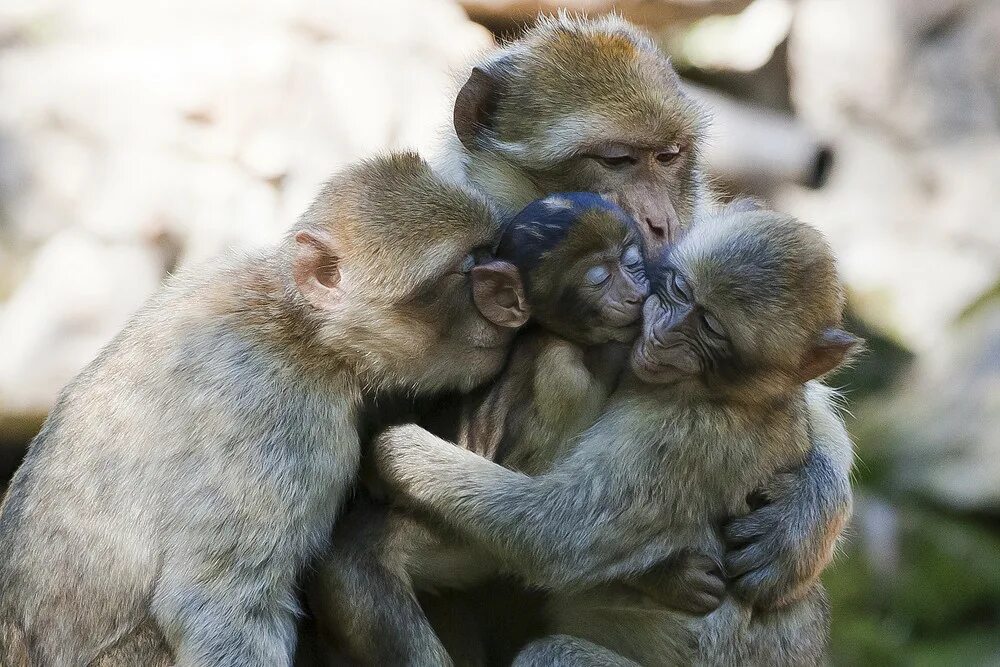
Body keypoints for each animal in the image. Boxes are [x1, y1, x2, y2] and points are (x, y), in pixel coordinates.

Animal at [0, 153, 532, 667]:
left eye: (492, 251)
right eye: (469, 266)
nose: (511, 305)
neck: (307, 333)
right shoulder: (275, 416)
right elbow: (221, 604)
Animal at [368, 206, 860, 664]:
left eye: (711, 328)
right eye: (681, 290)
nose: (663, 332)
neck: (733, 397)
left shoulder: (684, 438)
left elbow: (556, 536)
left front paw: (395, 448)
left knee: (551, 651)